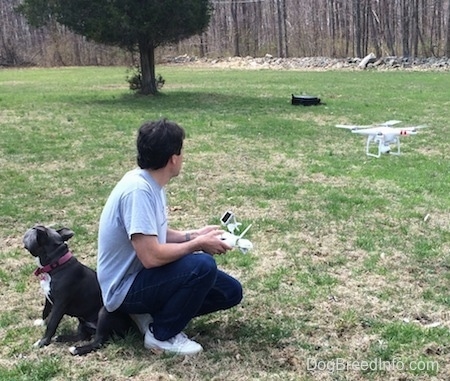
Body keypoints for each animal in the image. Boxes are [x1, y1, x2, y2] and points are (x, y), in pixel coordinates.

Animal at [22, 226, 146, 354]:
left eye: (35, 230)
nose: (31, 228)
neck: (56, 264)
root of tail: (131, 326)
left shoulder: (59, 305)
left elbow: (52, 324)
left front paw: (42, 342)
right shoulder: (48, 296)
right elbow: (45, 311)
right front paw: (41, 323)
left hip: (103, 313)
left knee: (98, 342)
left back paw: (77, 349)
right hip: (82, 321)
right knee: (83, 336)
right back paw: (62, 338)